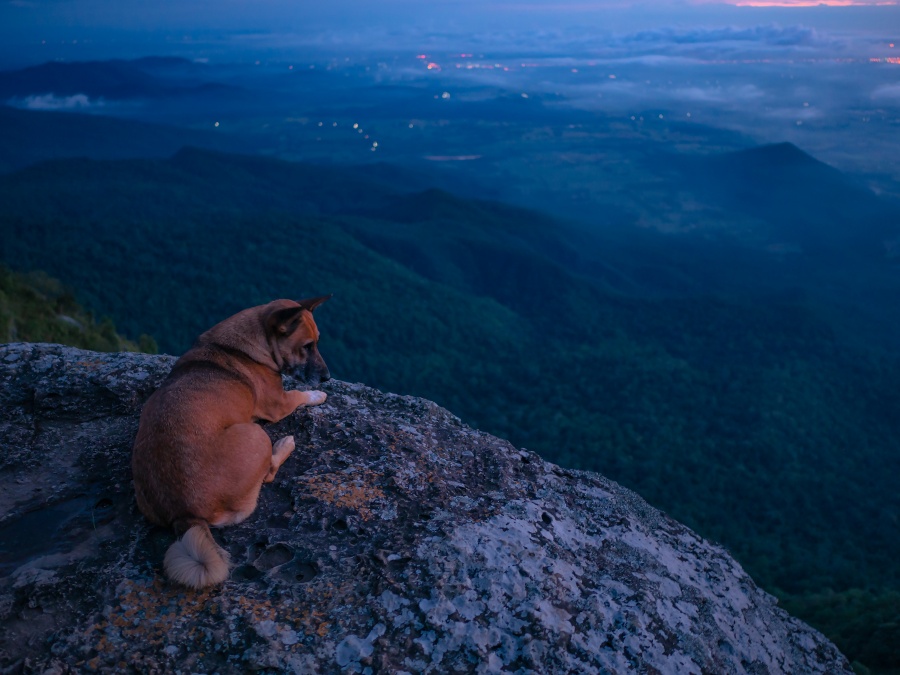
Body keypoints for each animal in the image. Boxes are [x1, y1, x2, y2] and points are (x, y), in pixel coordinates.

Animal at [132, 298, 332, 588]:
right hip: (257, 435)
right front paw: (317, 394)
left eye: (317, 342)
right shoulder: (279, 403)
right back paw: (284, 444)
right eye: (307, 346)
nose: (328, 378)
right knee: (268, 472)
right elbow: (298, 394)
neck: (255, 340)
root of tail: (186, 514)